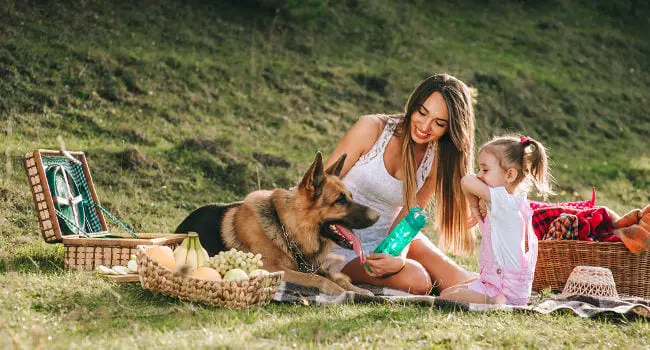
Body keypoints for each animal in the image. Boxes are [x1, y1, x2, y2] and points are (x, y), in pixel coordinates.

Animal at [176, 153, 380, 296]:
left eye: (351, 197)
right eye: (340, 200)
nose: (377, 216)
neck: (286, 227)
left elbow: (335, 277)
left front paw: (359, 290)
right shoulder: (271, 268)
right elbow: (315, 278)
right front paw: (340, 291)